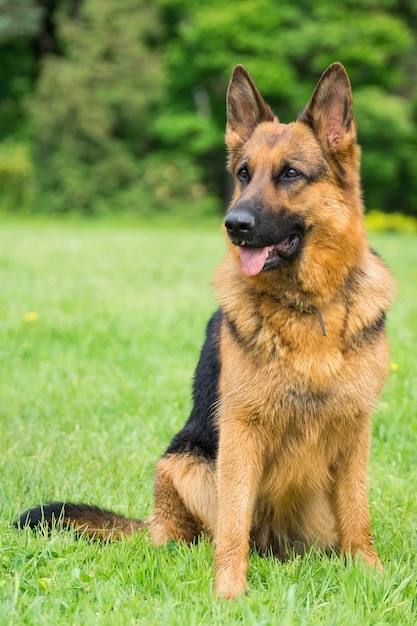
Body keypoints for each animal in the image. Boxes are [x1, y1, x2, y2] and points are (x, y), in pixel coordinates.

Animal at [16, 62, 394, 596]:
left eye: (290, 174)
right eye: (243, 174)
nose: (235, 224)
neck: (306, 307)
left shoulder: (355, 431)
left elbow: (358, 514)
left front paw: (370, 573)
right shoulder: (240, 433)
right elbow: (233, 522)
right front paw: (229, 592)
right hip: (185, 463)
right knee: (197, 534)